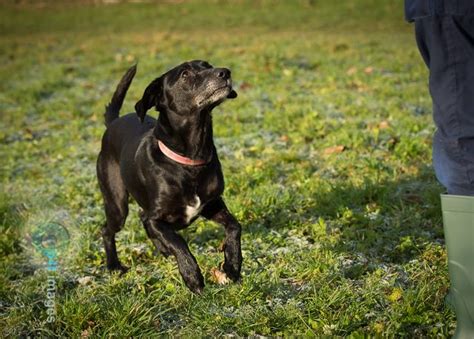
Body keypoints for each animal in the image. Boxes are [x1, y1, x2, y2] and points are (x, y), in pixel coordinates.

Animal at [97, 59, 243, 294]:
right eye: (184, 74)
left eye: (207, 65)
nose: (225, 72)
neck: (189, 160)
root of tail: (113, 123)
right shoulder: (156, 218)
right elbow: (178, 241)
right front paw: (192, 276)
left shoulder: (212, 204)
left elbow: (234, 226)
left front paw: (232, 265)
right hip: (117, 204)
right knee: (107, 229)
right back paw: (114, 266)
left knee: (141, 219)